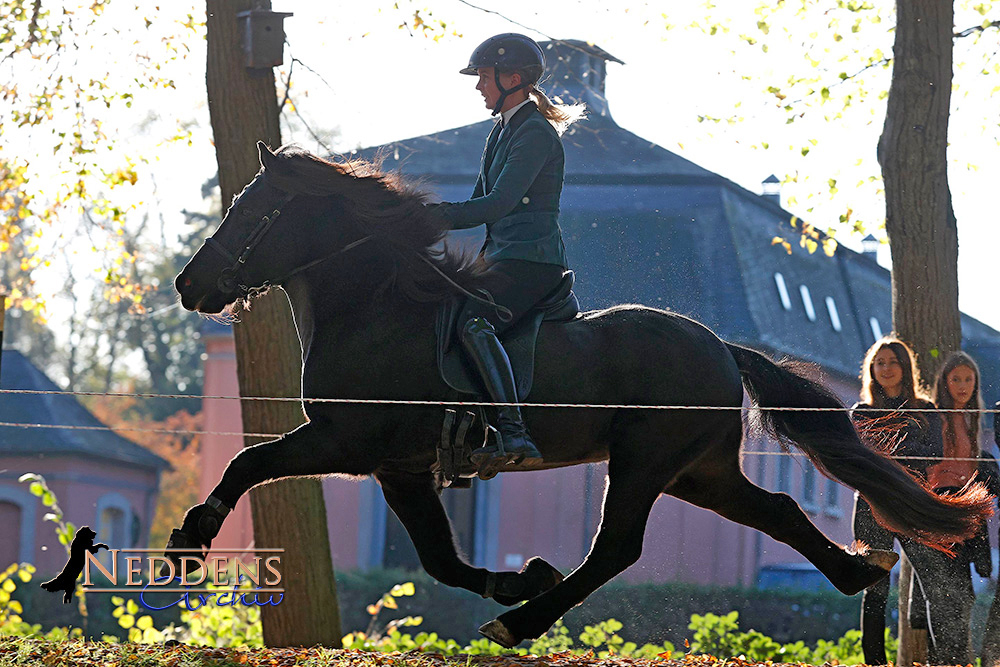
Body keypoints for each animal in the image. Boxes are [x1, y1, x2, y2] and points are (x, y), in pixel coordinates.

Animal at [168, 144, 988, 648]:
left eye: (252, 212)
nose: (188, 284)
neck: (375, 304)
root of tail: (721, 345)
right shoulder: (397, 468)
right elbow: (438, 560)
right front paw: (512, 577)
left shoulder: (344, 441)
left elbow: (247, 462)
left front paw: (190, 539)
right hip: (697, 471)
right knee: (779, 510)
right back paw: (856, 571)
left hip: (645, 460)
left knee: (618, 547)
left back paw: (523, 624)